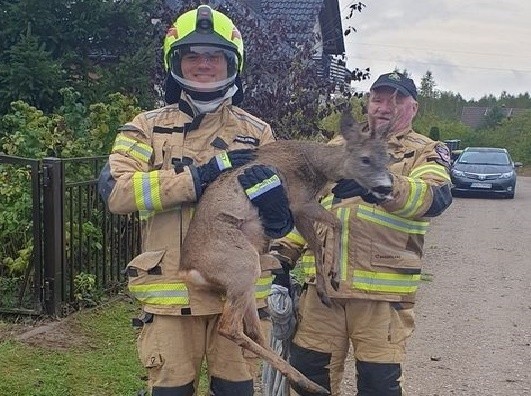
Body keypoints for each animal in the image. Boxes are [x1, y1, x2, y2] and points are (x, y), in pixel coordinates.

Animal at [181, 106, 392, 394]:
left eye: (388, 158)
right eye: (365, 159)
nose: (386, 187)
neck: (314, 166)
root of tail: (190, 272)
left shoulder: (299, 207)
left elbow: (325, 233)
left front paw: (329, 285)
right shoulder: (297, 203)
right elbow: (327, 231)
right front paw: (332, 280)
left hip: (242, 281)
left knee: (254, 329)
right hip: (241, 264)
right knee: (230, 327)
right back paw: (309, 383)